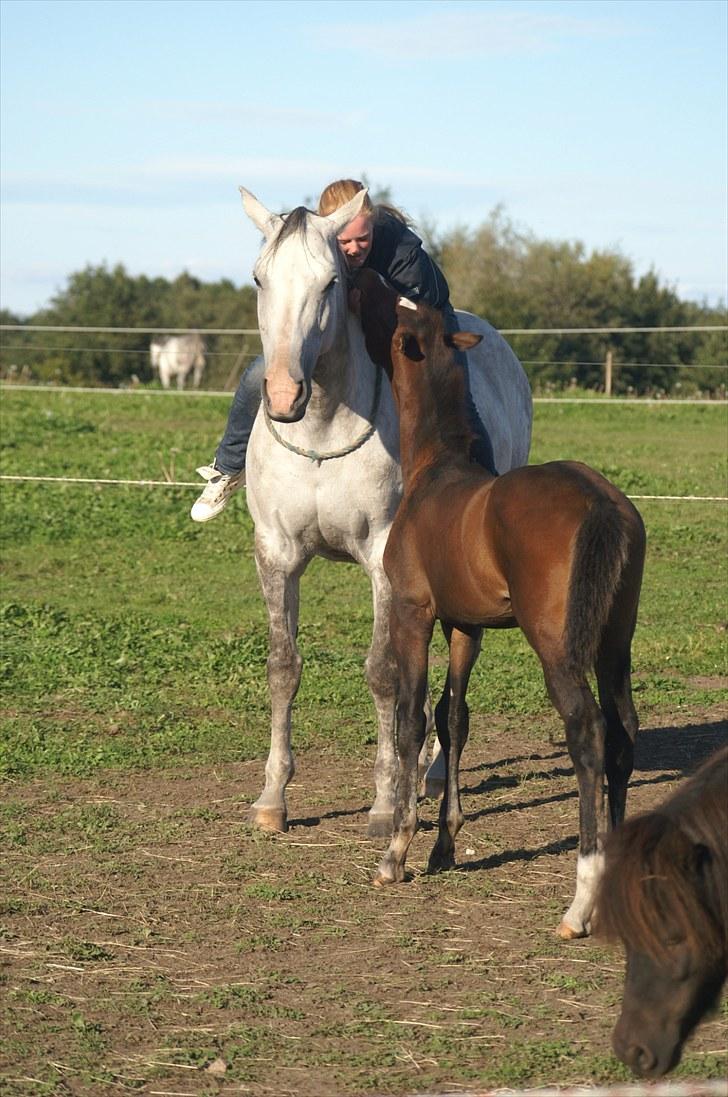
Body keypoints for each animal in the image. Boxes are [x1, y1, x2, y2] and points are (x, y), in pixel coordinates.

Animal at [241, 186, 532, 838]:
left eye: (330, 282)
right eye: (259, 278)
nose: (283, 395)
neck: (323, 431)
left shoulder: (382, 561)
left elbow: (383, 674)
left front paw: (382, 803)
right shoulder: (277, 555)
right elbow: (283, 667)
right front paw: (272, 798)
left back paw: (429, 775)